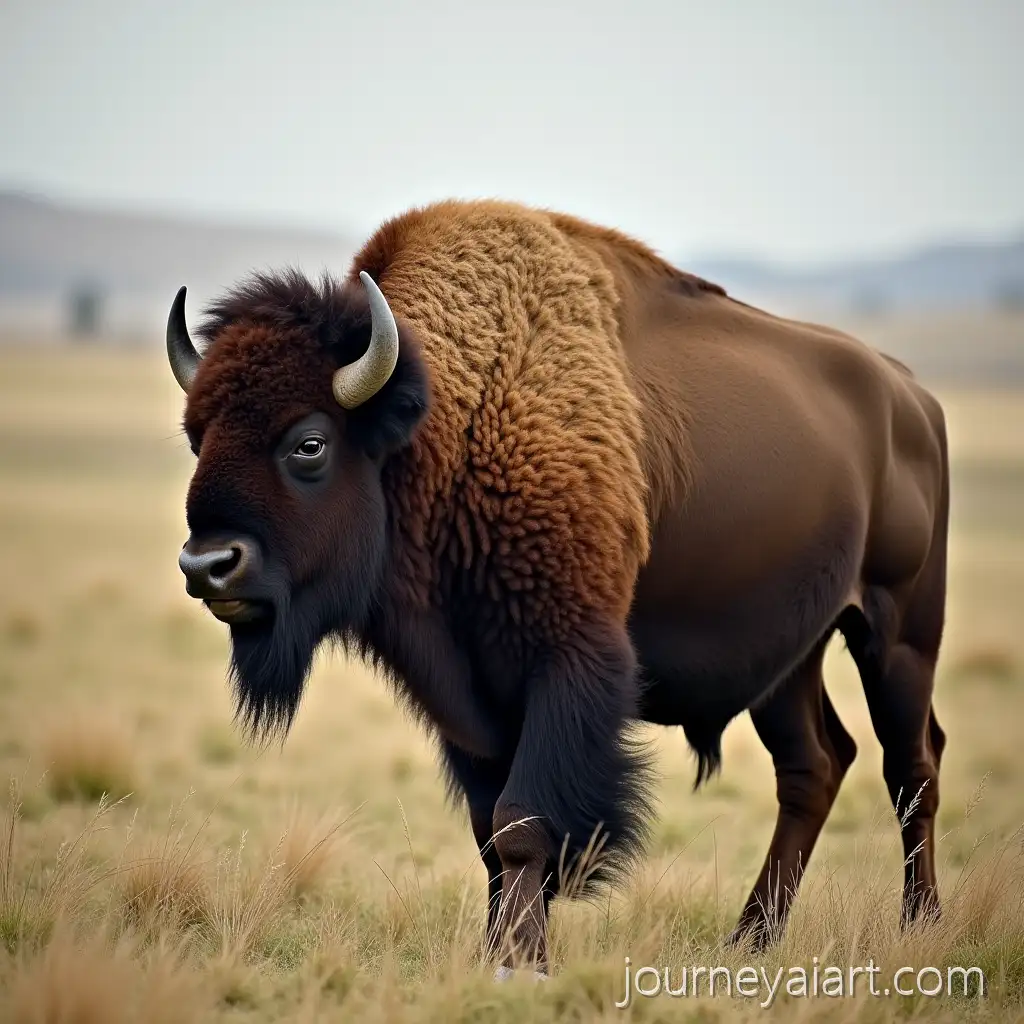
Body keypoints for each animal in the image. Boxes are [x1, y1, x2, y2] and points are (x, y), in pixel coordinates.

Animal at [166, 200, 949, 976]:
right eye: (197, 438)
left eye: (309, 444)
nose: (207, 565)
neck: (446, 426)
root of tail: (914, 399)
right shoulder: (469, 694)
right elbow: (489, 829)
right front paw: (498, 953)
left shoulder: (566, 663)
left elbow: (523, 824)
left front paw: (520, 963)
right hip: (788, 660)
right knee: (814, 767)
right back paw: (752, 937)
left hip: (899, 635)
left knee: (911, 764)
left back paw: (920, 925)